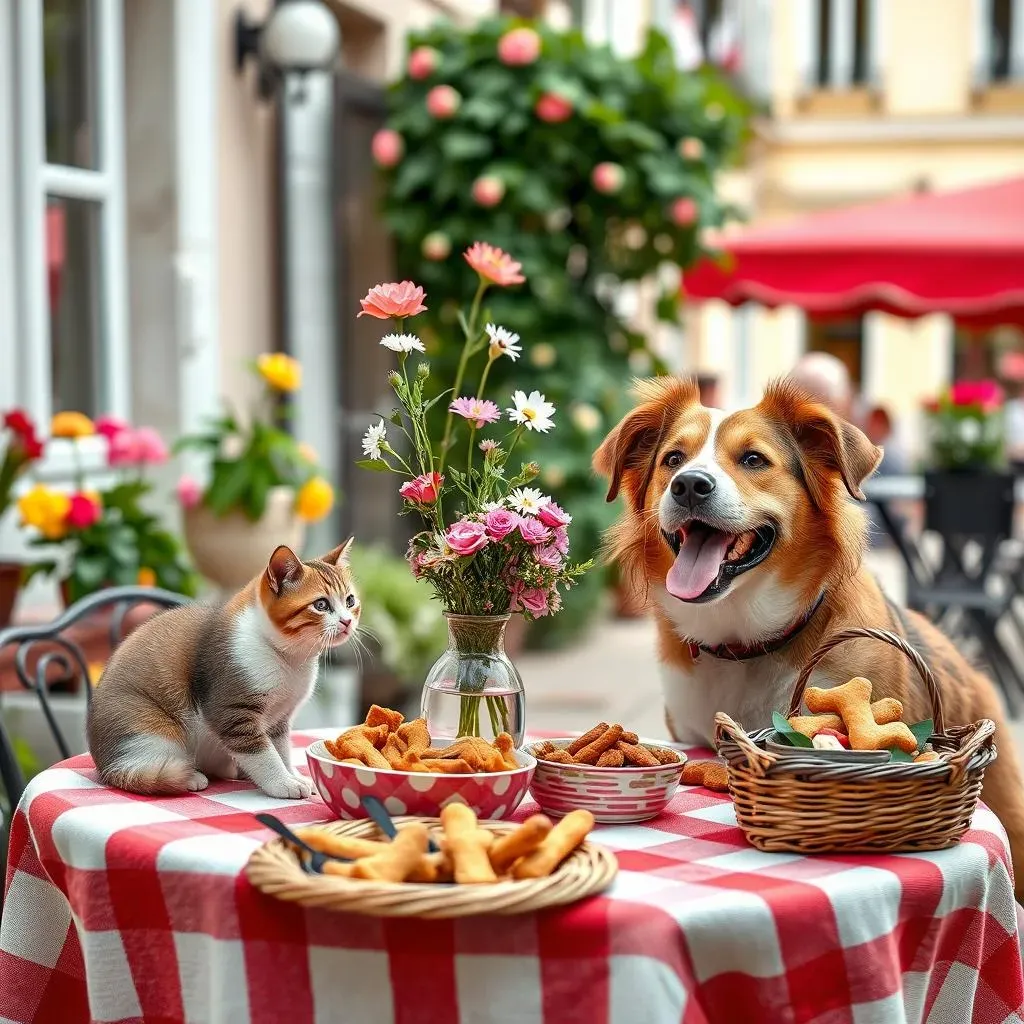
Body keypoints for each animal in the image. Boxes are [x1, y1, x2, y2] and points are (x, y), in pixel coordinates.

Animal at [88, 536, 360, 798]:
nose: (347, 621)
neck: (289, 659)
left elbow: (282, 750)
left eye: (350, 601)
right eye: (321, 605)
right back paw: (188, 776)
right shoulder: (231, 710)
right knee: (140, 765)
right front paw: (282, 782)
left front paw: (293, 775)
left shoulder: (279, 719)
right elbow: (264, 754)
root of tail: (106, 767)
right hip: (150, 726)